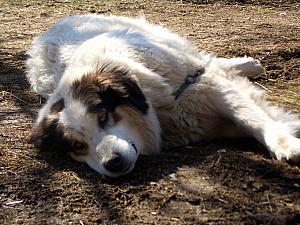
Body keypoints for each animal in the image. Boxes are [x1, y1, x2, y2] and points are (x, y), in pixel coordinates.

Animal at [26, 14, 300, 178]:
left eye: (103, 117)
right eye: (77, 146)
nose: (112, 163)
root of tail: (47, 33)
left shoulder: (207, 87)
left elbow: (253, 117)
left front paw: (286, 144)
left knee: (204, 59)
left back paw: (249, 65)